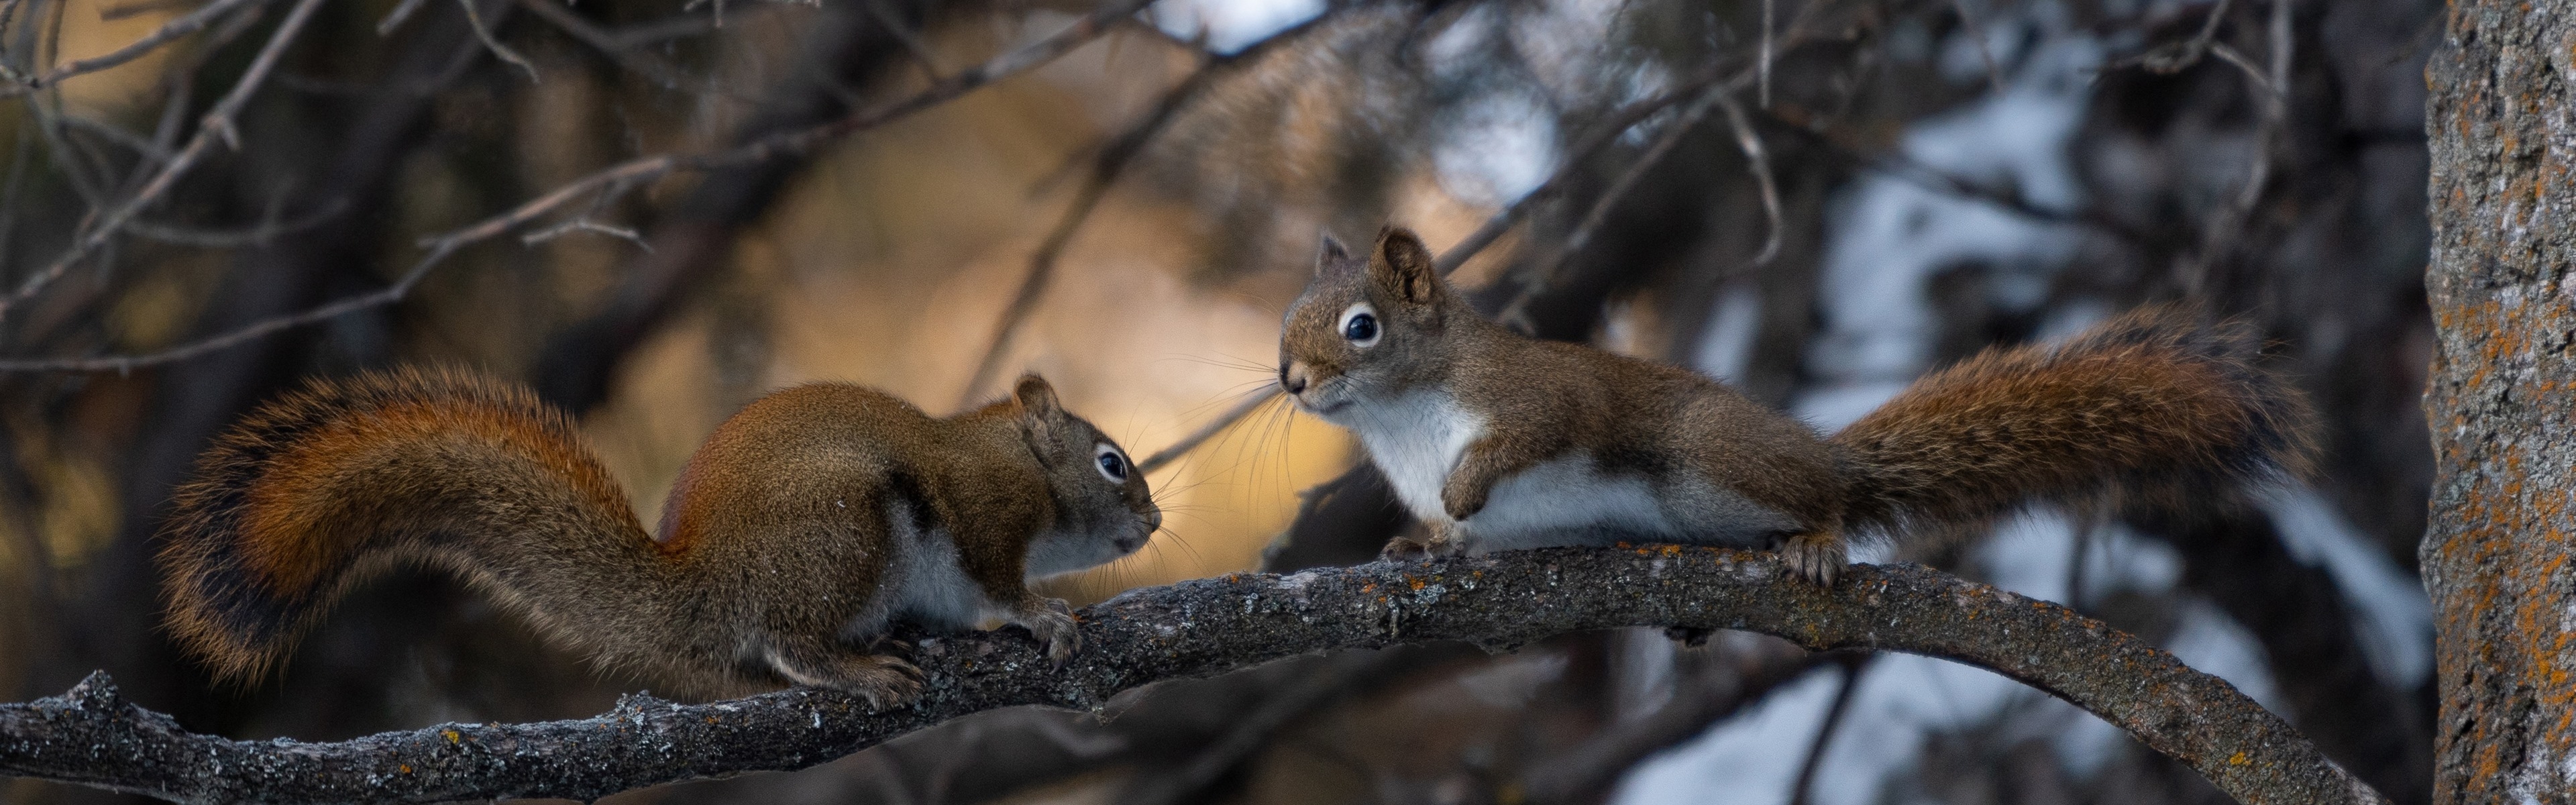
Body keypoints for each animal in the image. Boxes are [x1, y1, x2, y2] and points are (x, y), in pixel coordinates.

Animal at [156, 366, 1164, 702]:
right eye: (1112, 462)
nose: (1156, 519)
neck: (1015, 455)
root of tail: (706, 580)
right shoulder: (985, 512)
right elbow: (997, 583)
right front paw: (1043, 614)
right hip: (844, 535)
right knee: (785, 641)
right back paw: (855, 666)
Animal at [1283, 227, 2318, 586]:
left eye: (1363, 328)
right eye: (1288, 320)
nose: (1291, 380)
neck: (1402, 420)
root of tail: (1828, 458)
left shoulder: (1533, 398)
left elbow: (1531, 436)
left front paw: (1464, 494)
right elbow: (1453, 537)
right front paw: (1426, 544)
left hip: (1709, 463)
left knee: (1823, 506)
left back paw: (1817, 541)